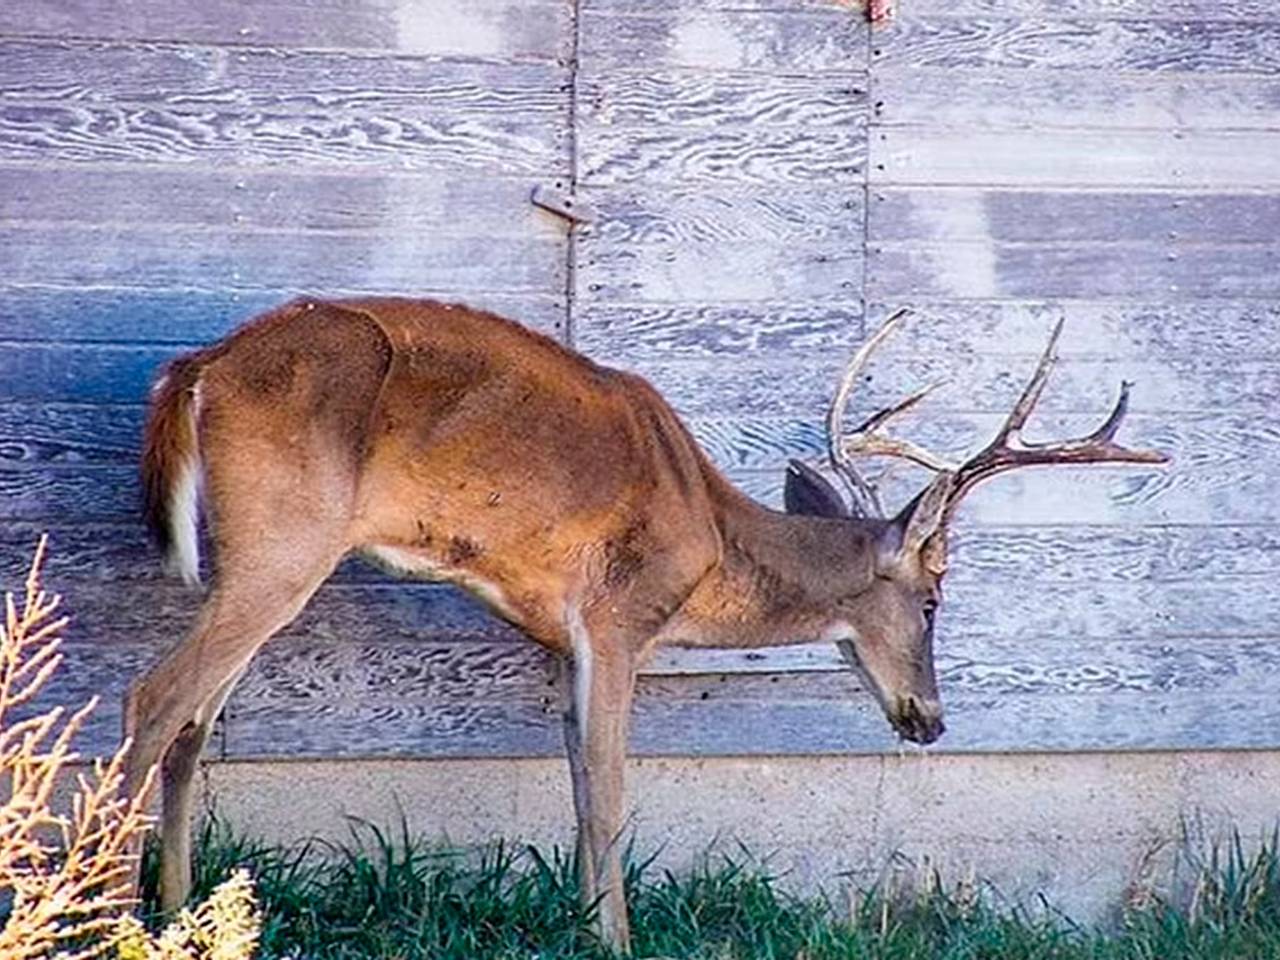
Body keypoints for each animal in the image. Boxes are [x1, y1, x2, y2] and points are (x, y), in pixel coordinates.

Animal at [124, 299, 1167, 957]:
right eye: (936, 598)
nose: (931, 720)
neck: (708, 537)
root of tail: (195, 372)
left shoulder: (560, 641)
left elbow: (581, 786)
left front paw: (585, 925)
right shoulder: (620, 617)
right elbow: (614, 796)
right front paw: (615, 939)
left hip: (262, 556)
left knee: (193, 723)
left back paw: (181, 915)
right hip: (285, 538)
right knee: (153, 697)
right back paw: (110, 906)